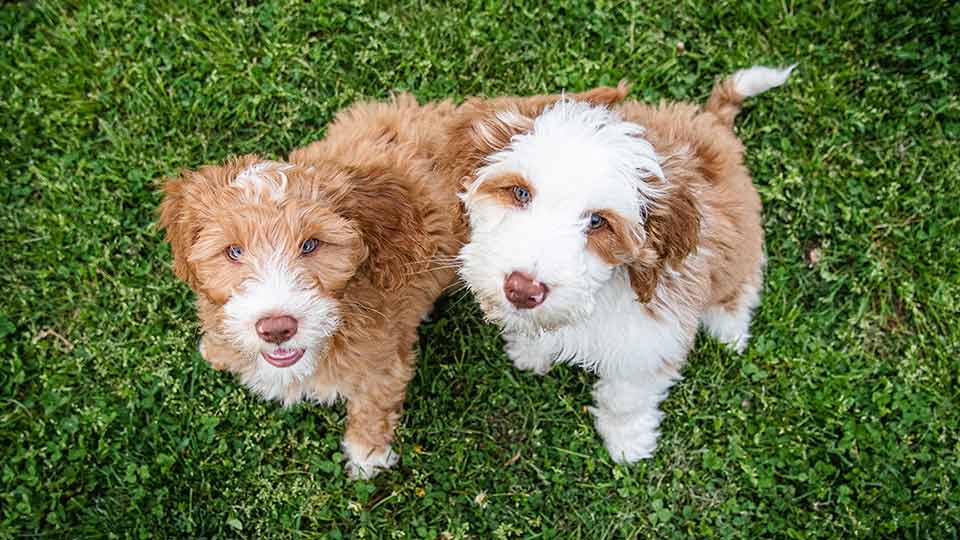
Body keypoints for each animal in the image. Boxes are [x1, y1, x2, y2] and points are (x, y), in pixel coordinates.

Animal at [158, 86, 628, 478]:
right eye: (233, 252)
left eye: (310, 245)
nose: (276, 327)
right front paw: (219, 349)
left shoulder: (383, 357)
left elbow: (375, 401)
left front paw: (366, 453)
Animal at [446, 65, 792, 462]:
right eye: (520, 192)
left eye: (598, 221)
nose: (522, 290)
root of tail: (712, 123)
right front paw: (530, 351)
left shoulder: (654, 335)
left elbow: (626, 396)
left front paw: (627, 440)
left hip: (740, 245)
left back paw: (729, 328)